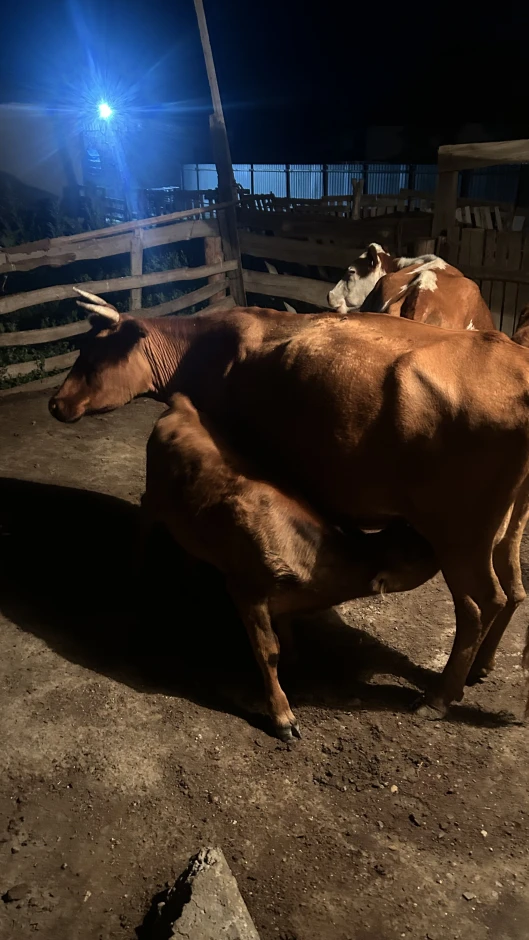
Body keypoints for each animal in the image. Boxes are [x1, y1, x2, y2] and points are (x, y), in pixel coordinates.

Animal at [141, 393, 439, 739]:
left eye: (411, 531)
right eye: (416, 551)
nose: (442, 543)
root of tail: (182, 404)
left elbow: (286, 635)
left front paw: (295, 659)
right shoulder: (247, 591)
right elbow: (268, 650)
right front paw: (282, 715)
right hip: (154, 497)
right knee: (145, 516)